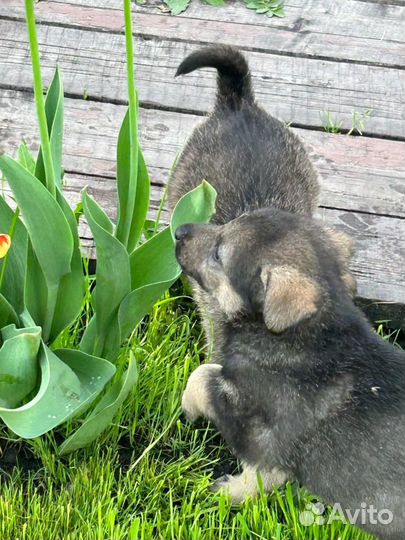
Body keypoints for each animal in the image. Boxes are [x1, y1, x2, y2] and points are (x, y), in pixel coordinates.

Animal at [169, 47, 402, 540]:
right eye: (221, 228)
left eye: (219, 252)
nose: (179, 231)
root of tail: (239, 104)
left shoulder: (263, 431)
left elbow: (203, 378)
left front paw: (223, 490)